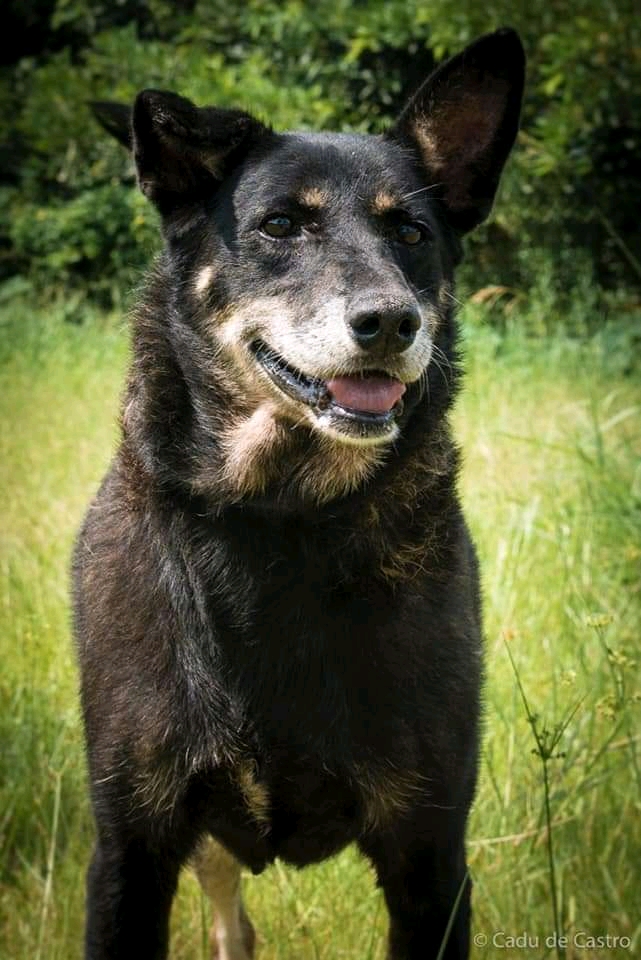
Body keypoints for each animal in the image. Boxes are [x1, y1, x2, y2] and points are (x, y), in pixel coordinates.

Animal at [74, 30, 524, 960]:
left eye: (411, 231)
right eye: (280, 224)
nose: (390, 322)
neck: (279, 517)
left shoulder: (429, 853)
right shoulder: (131, 845)